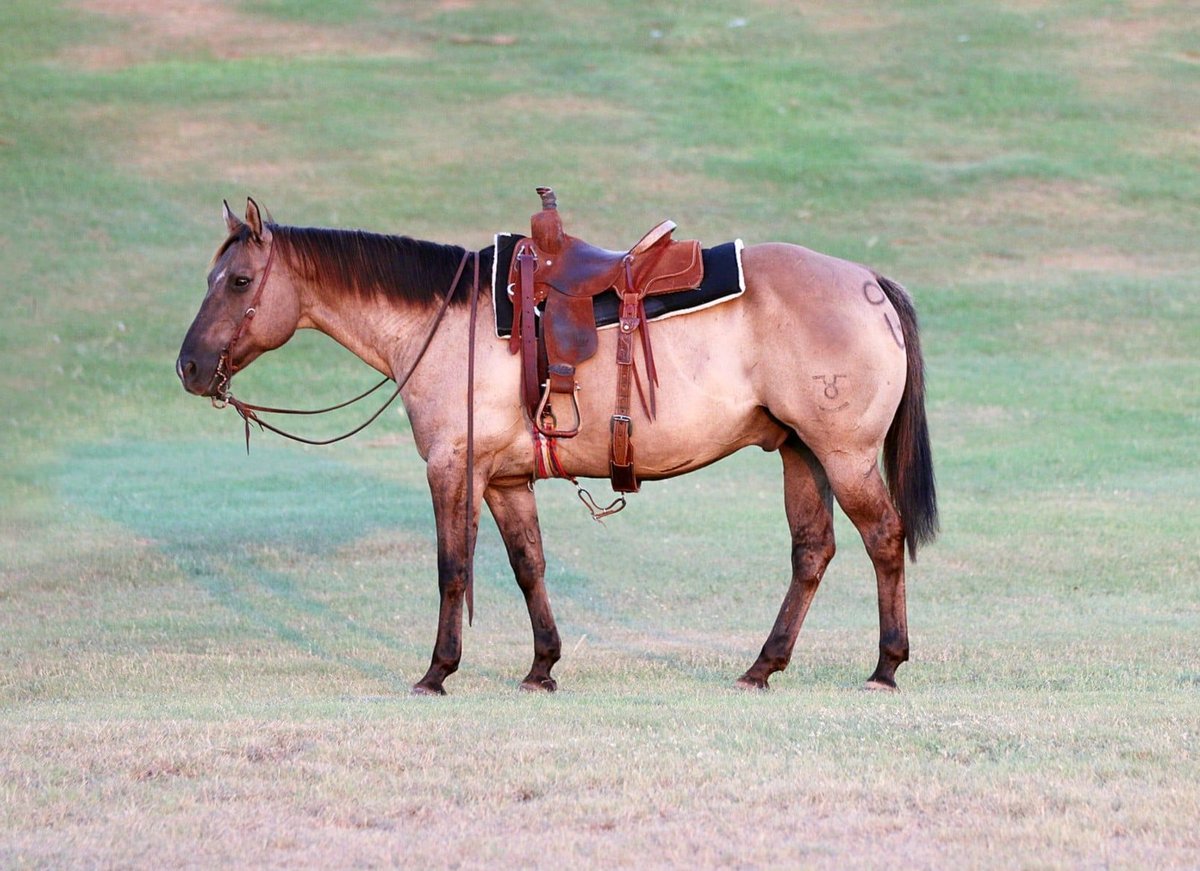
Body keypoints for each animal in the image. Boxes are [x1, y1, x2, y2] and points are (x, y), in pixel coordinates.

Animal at [176, 197, 937, 695]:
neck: (448, 324)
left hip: (844, 456)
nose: (188, 366)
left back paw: (886, 665)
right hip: (800, 453)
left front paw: (437, 671)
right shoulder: (507, 481)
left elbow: (453, 568)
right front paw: (542, 667)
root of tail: (867, 282)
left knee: (883, 538)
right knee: (812, 553)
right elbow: (527, 567)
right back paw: (762, 667)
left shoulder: (453, 468)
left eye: (238, 281)